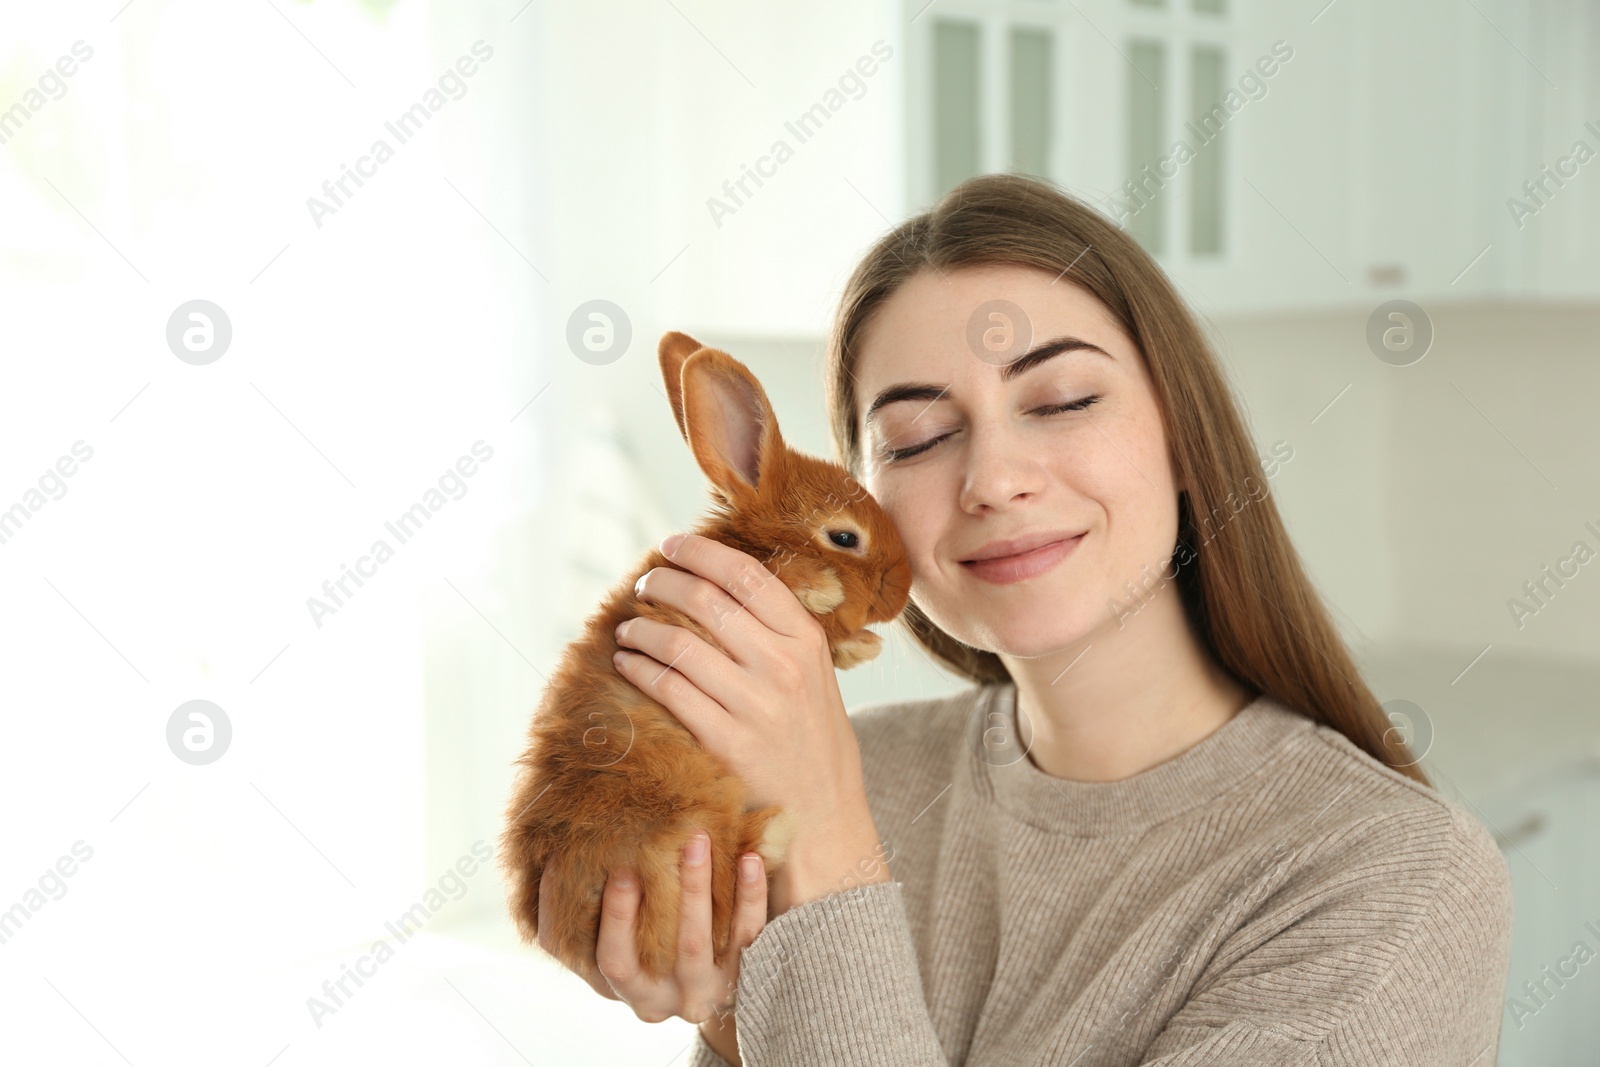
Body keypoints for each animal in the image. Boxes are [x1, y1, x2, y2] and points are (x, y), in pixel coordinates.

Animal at [499, 331, 915, 985]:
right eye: (845, 537)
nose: (904, 585)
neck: (752, 542)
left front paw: (857, 644)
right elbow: (804, 586)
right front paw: (823, 589)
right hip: (687, 818)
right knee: (721, 902)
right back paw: (772, 833)